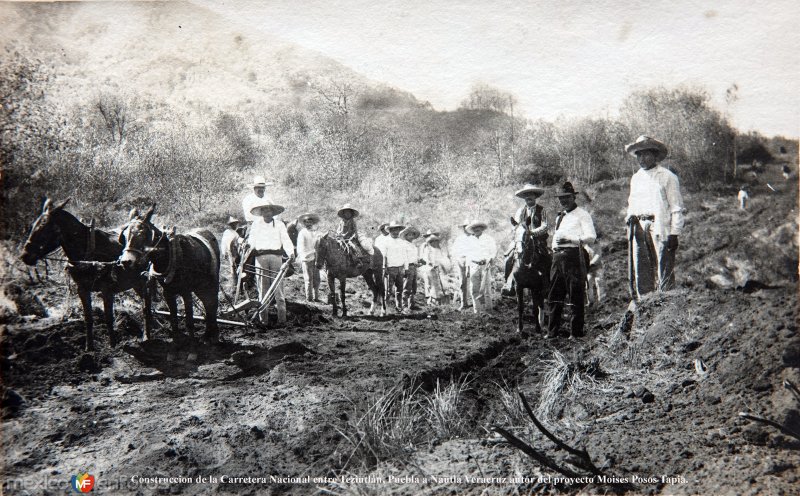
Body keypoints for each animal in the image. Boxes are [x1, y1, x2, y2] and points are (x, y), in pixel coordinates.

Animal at [19, 199, 154, 352]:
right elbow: (88, 318)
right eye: (33, 226)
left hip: (143, 281)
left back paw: (147, 336)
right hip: (135, 283)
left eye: (44, 228)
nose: (25, 256)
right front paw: (89, 347)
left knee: (147, 306)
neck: (88, 253)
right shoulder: (82, 289)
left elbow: (108, 318)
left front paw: (113, 345)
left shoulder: (107, 290)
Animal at [117, 205, 222, 340]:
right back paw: (209, 333)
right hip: (200, 286)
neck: (168, 257)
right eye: (124, 236)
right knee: (207, 304)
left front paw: (192, 341)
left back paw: (213, 334)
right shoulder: (168, 292)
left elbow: (189, 320)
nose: (126, 261)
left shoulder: (186, 292)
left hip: (211, 283)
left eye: (142, 234)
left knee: (212, 304)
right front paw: (177, 338)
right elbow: (173, 318)